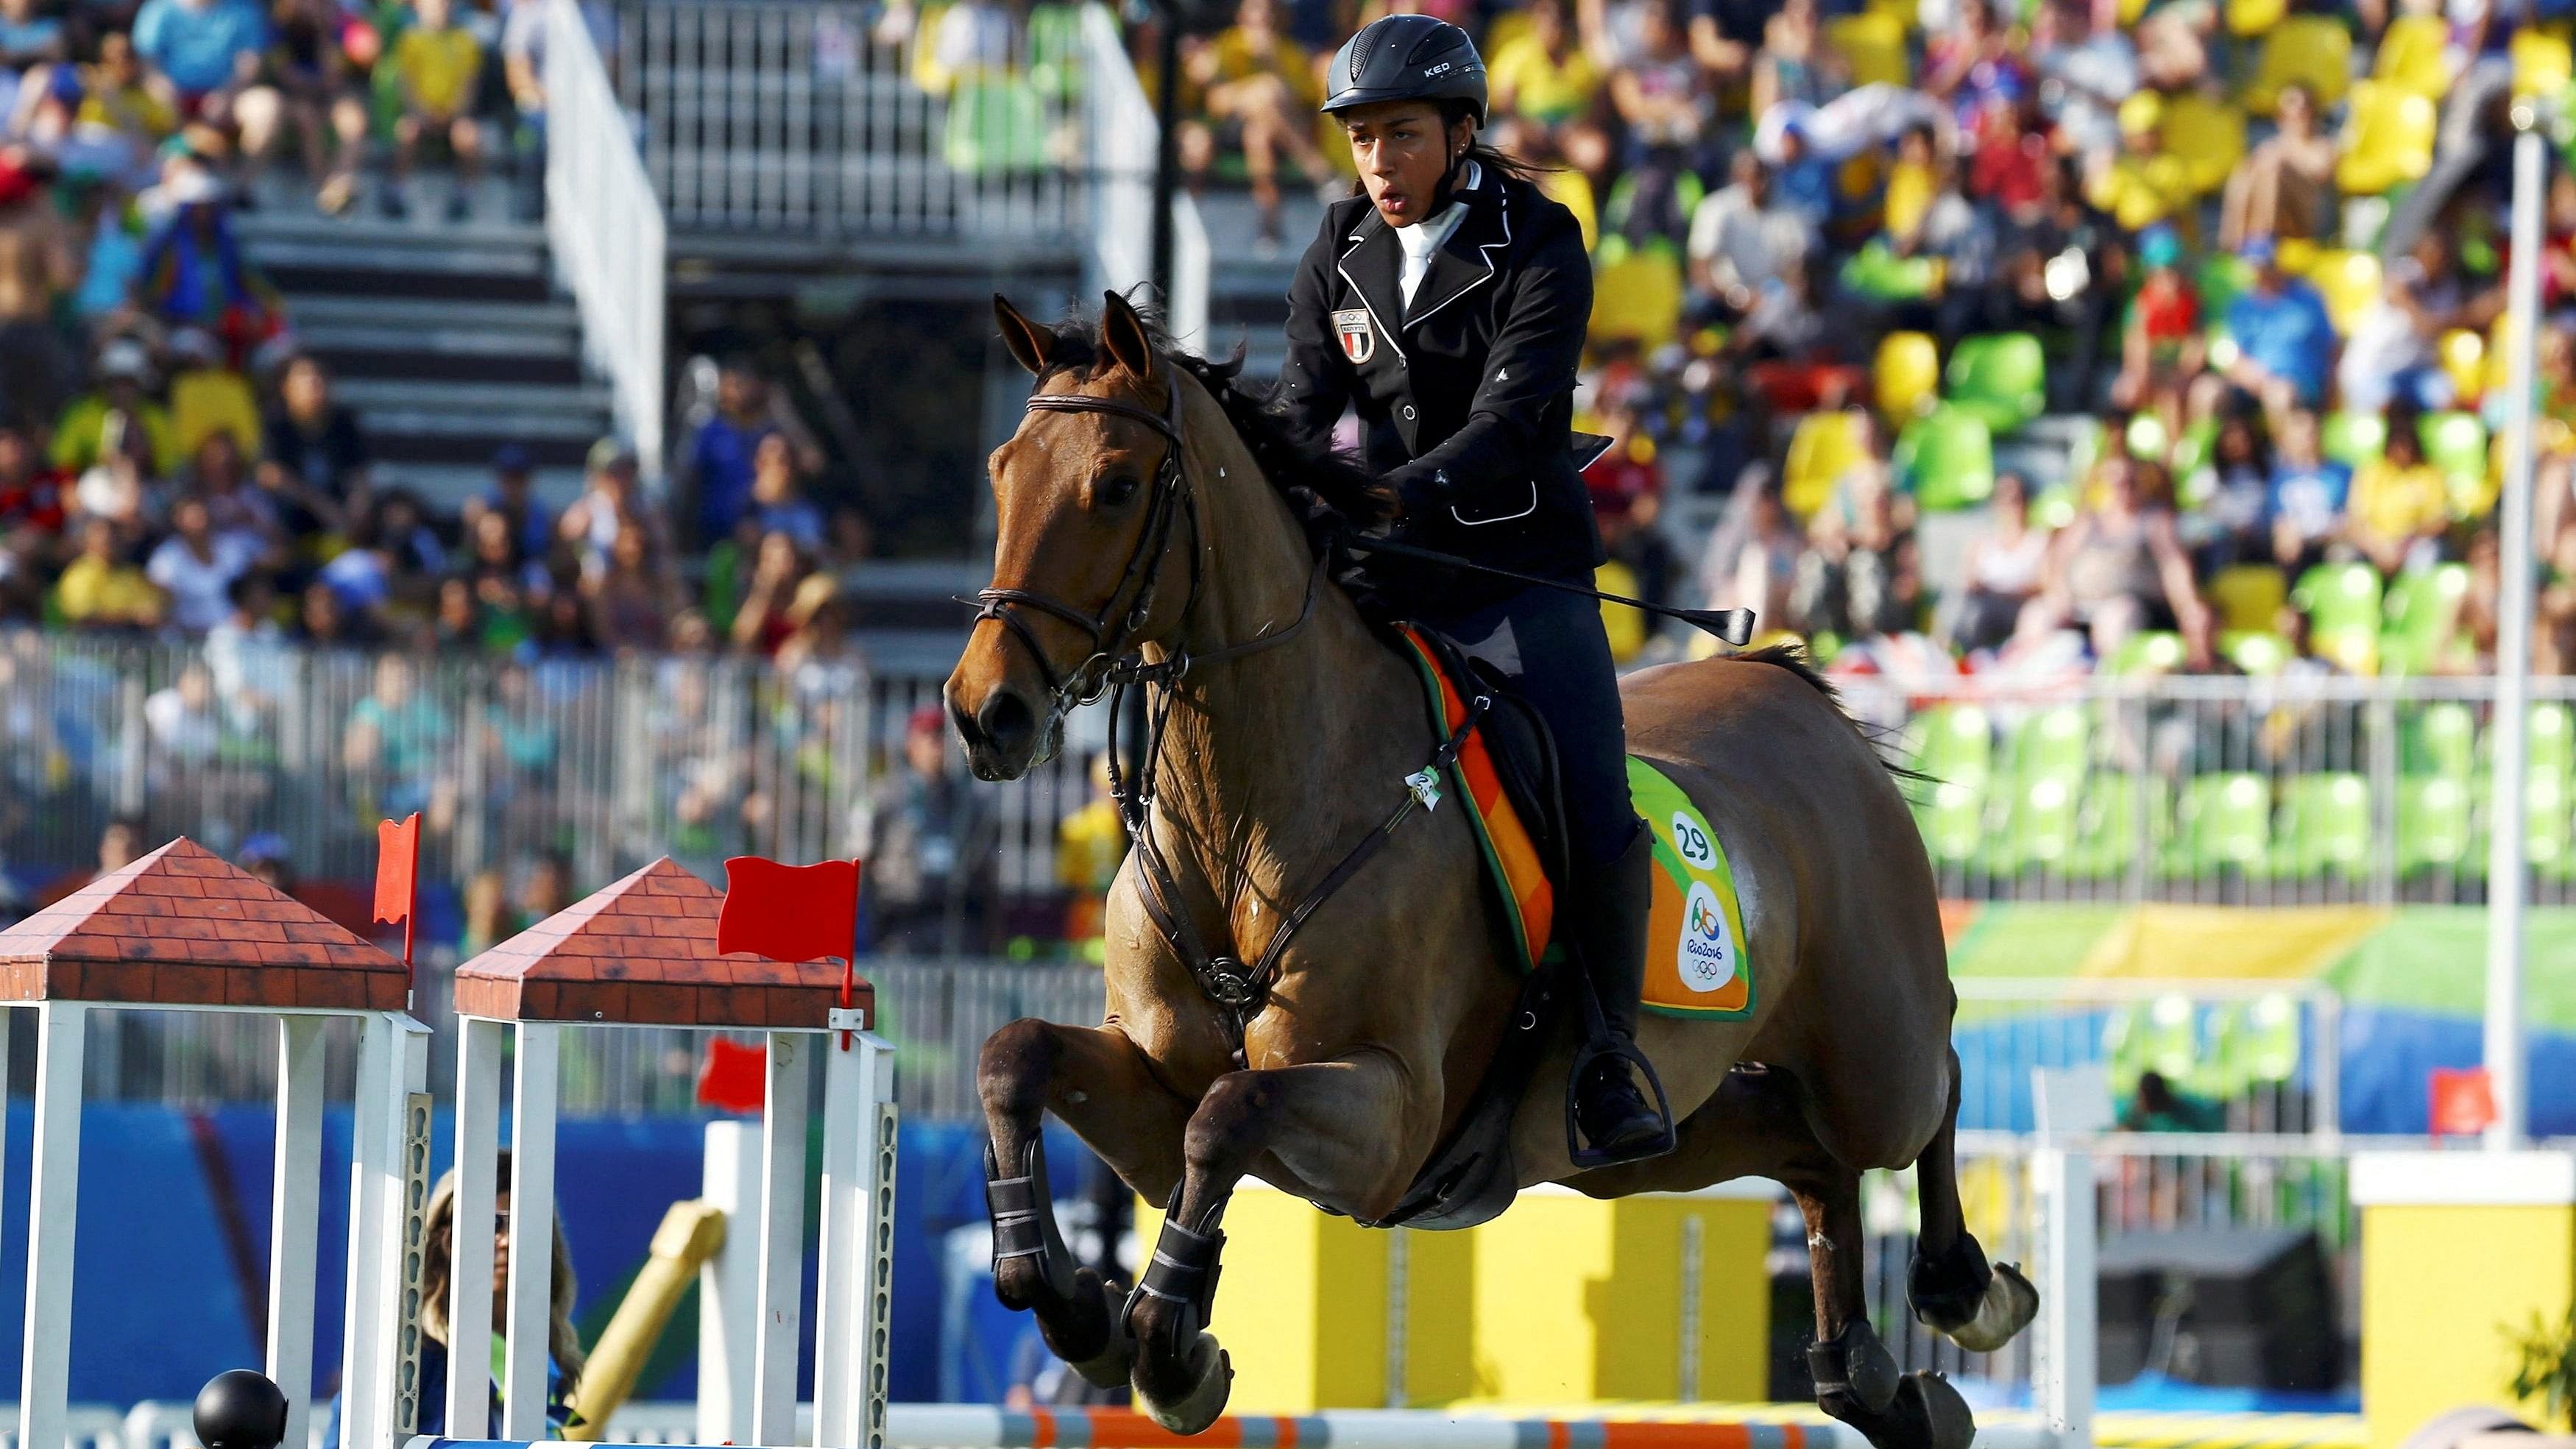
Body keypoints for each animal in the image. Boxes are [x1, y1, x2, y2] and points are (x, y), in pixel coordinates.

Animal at [948, 297, 2030, 1449]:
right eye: (1000, 472)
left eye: (1114, 485)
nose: (984, 713)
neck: (1245, 824)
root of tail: (1798, 694)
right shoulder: (1151, 1092)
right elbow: (1017, 1058)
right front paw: (1077, 1307)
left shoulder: (1387, 1115)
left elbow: (1226, 1116)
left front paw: (1168, 1349)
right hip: (1654, 1142)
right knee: (1813, 1161)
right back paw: (1869, 1383)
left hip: (1872, 1056)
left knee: (1932, 1087)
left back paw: (1967, 1291)